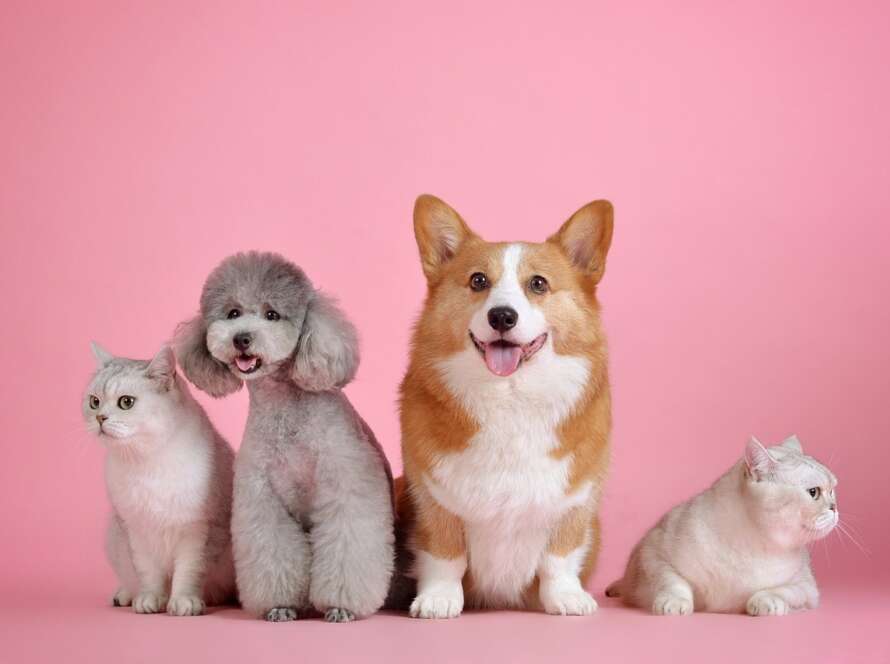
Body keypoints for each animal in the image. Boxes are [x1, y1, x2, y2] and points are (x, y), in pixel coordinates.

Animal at [398, 195, 612, 620]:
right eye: (478, 281)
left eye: (538, 284)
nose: (501, 316)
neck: (510, 397)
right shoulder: (431, 497)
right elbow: (445, 554)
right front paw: (438, 599)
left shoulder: (576, 498)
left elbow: (559, 557)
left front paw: (566, 597)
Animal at [608, 436, 836, 616]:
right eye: (814, 492)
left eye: (833, 490)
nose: (834, 508)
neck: (754, 544)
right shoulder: (653, 552)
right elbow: (673, 581)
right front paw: (674, 603)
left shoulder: (807, 587)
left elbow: (782, 590)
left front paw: (765, 602)